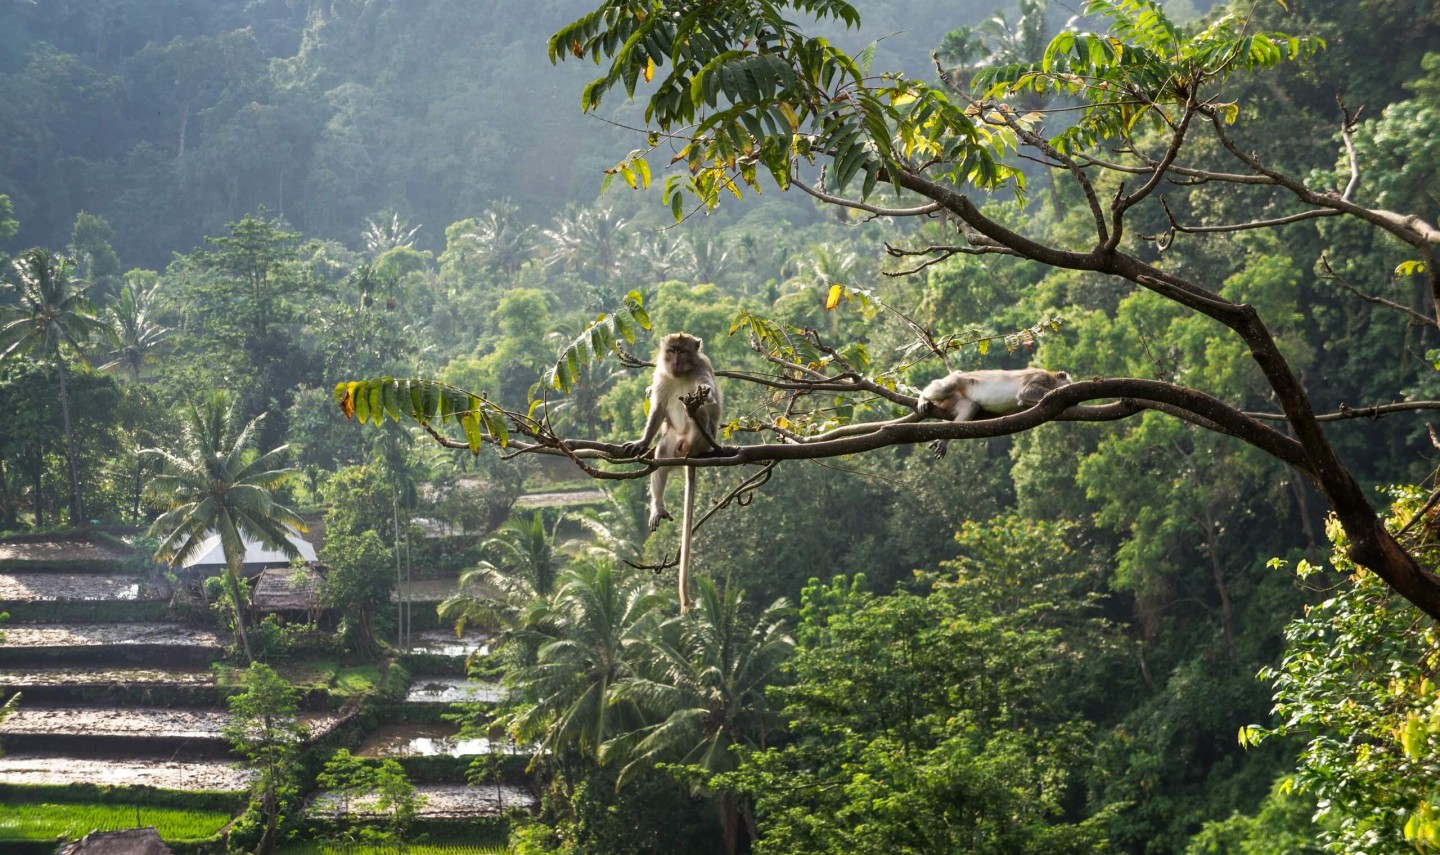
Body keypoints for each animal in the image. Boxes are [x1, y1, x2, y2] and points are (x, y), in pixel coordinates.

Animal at [622, 333, 724, 612]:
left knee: (701, 414)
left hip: (700, 438)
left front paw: (701, 398)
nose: (676, 361)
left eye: (683, 352)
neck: (681, 375)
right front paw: (642, 442)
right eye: (672, 351)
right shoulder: (662, 375)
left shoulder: (701, 370)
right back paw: (658, 506)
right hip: (673, 440)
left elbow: (708, 396)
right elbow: (657, 408)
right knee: (661, 456)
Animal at [915, 368, 1072, 458]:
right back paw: (923, 397)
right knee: (948, 386)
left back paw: (945, 439)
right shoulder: (1040, 376)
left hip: (956, 399)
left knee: (970, 407)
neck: (1051, 380)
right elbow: (1025, 392)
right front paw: (1056, 393)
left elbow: (1022, 401)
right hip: (957, 381)